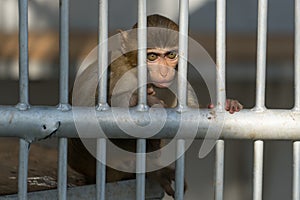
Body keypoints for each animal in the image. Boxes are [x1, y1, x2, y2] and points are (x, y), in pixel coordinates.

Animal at [67, 14, 241, 198]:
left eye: (171, 55)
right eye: (151, 57)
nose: (164, 72)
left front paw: (227, 103)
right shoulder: (120, 70)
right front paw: (137, 100)